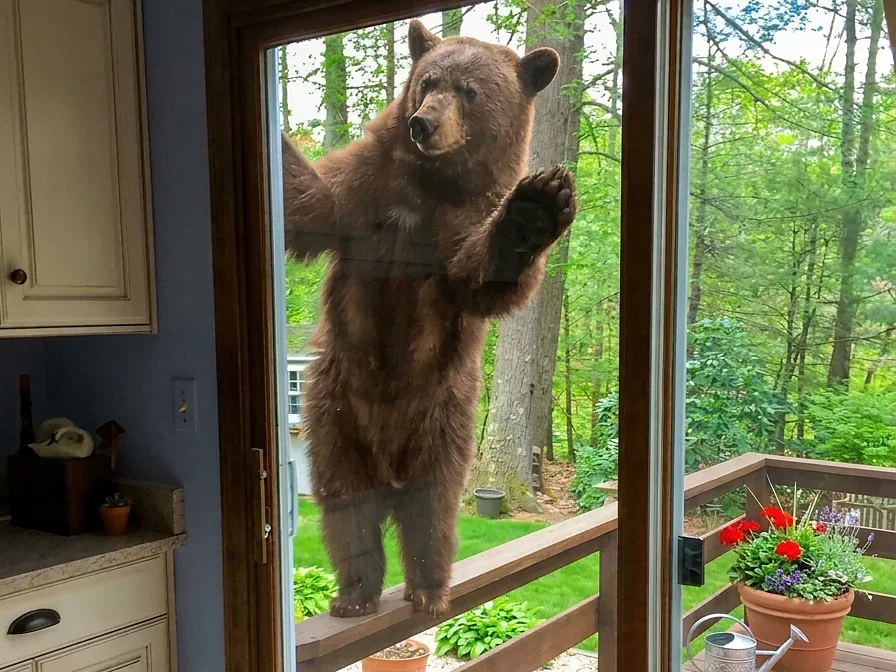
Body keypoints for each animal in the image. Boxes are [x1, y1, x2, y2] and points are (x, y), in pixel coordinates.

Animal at [281, 19, 576, 620]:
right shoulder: (366, 188)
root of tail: (389, 465)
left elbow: (482, 278)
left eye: (470, 91)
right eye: (427, 81)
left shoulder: (458, 223)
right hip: (336, 412)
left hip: (443, 416)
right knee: (345, 502)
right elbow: (311, 205)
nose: (423, 123)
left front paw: (536, 207)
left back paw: (427, 587)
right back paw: (355, 593)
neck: (429, 186)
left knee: (432, 507)